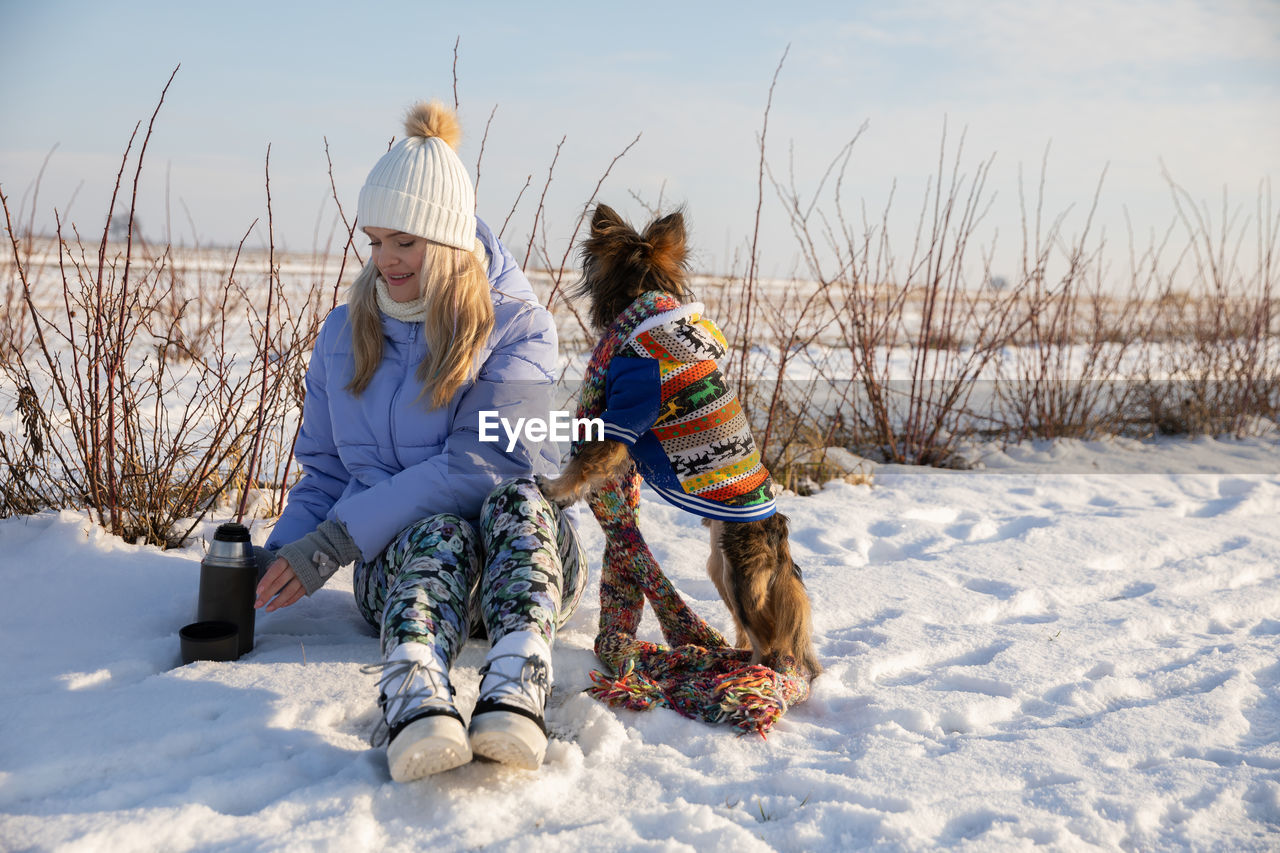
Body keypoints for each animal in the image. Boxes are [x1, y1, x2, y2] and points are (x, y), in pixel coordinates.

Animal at [537, 202, 819, 676]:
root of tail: (778, 535)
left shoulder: (623, 415)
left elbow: (583, 463)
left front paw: (555, 489)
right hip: (717, 567)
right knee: (750, 631)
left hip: (739, 578)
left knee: (769, 643)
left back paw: (745, 672)